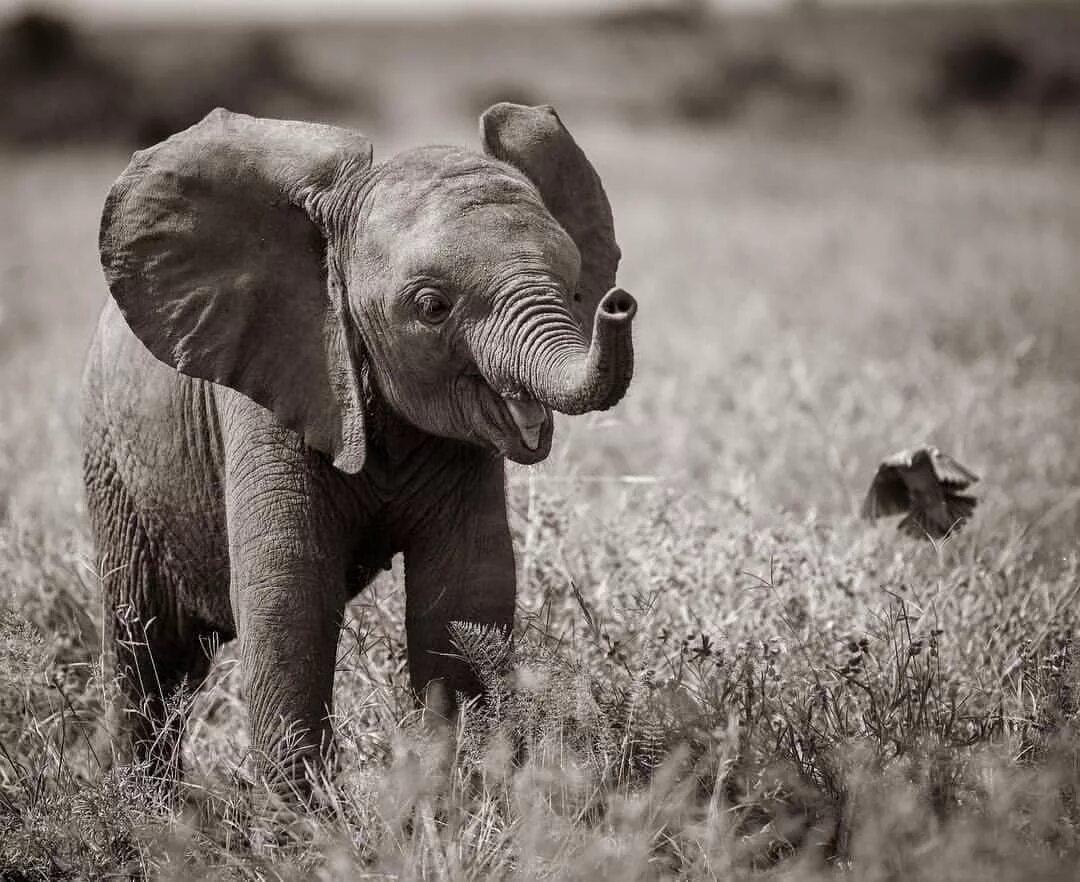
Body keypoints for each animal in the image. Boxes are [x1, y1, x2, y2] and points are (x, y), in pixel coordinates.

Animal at [88, 104, 635, 798]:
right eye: (431, 308)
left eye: (573, 286)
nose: (619, 304)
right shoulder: (273, 385)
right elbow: (289, 594)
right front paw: (303, 818)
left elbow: (467, 592)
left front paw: (455, 798)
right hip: (111, 457)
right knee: (143, 639)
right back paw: (148, 805)